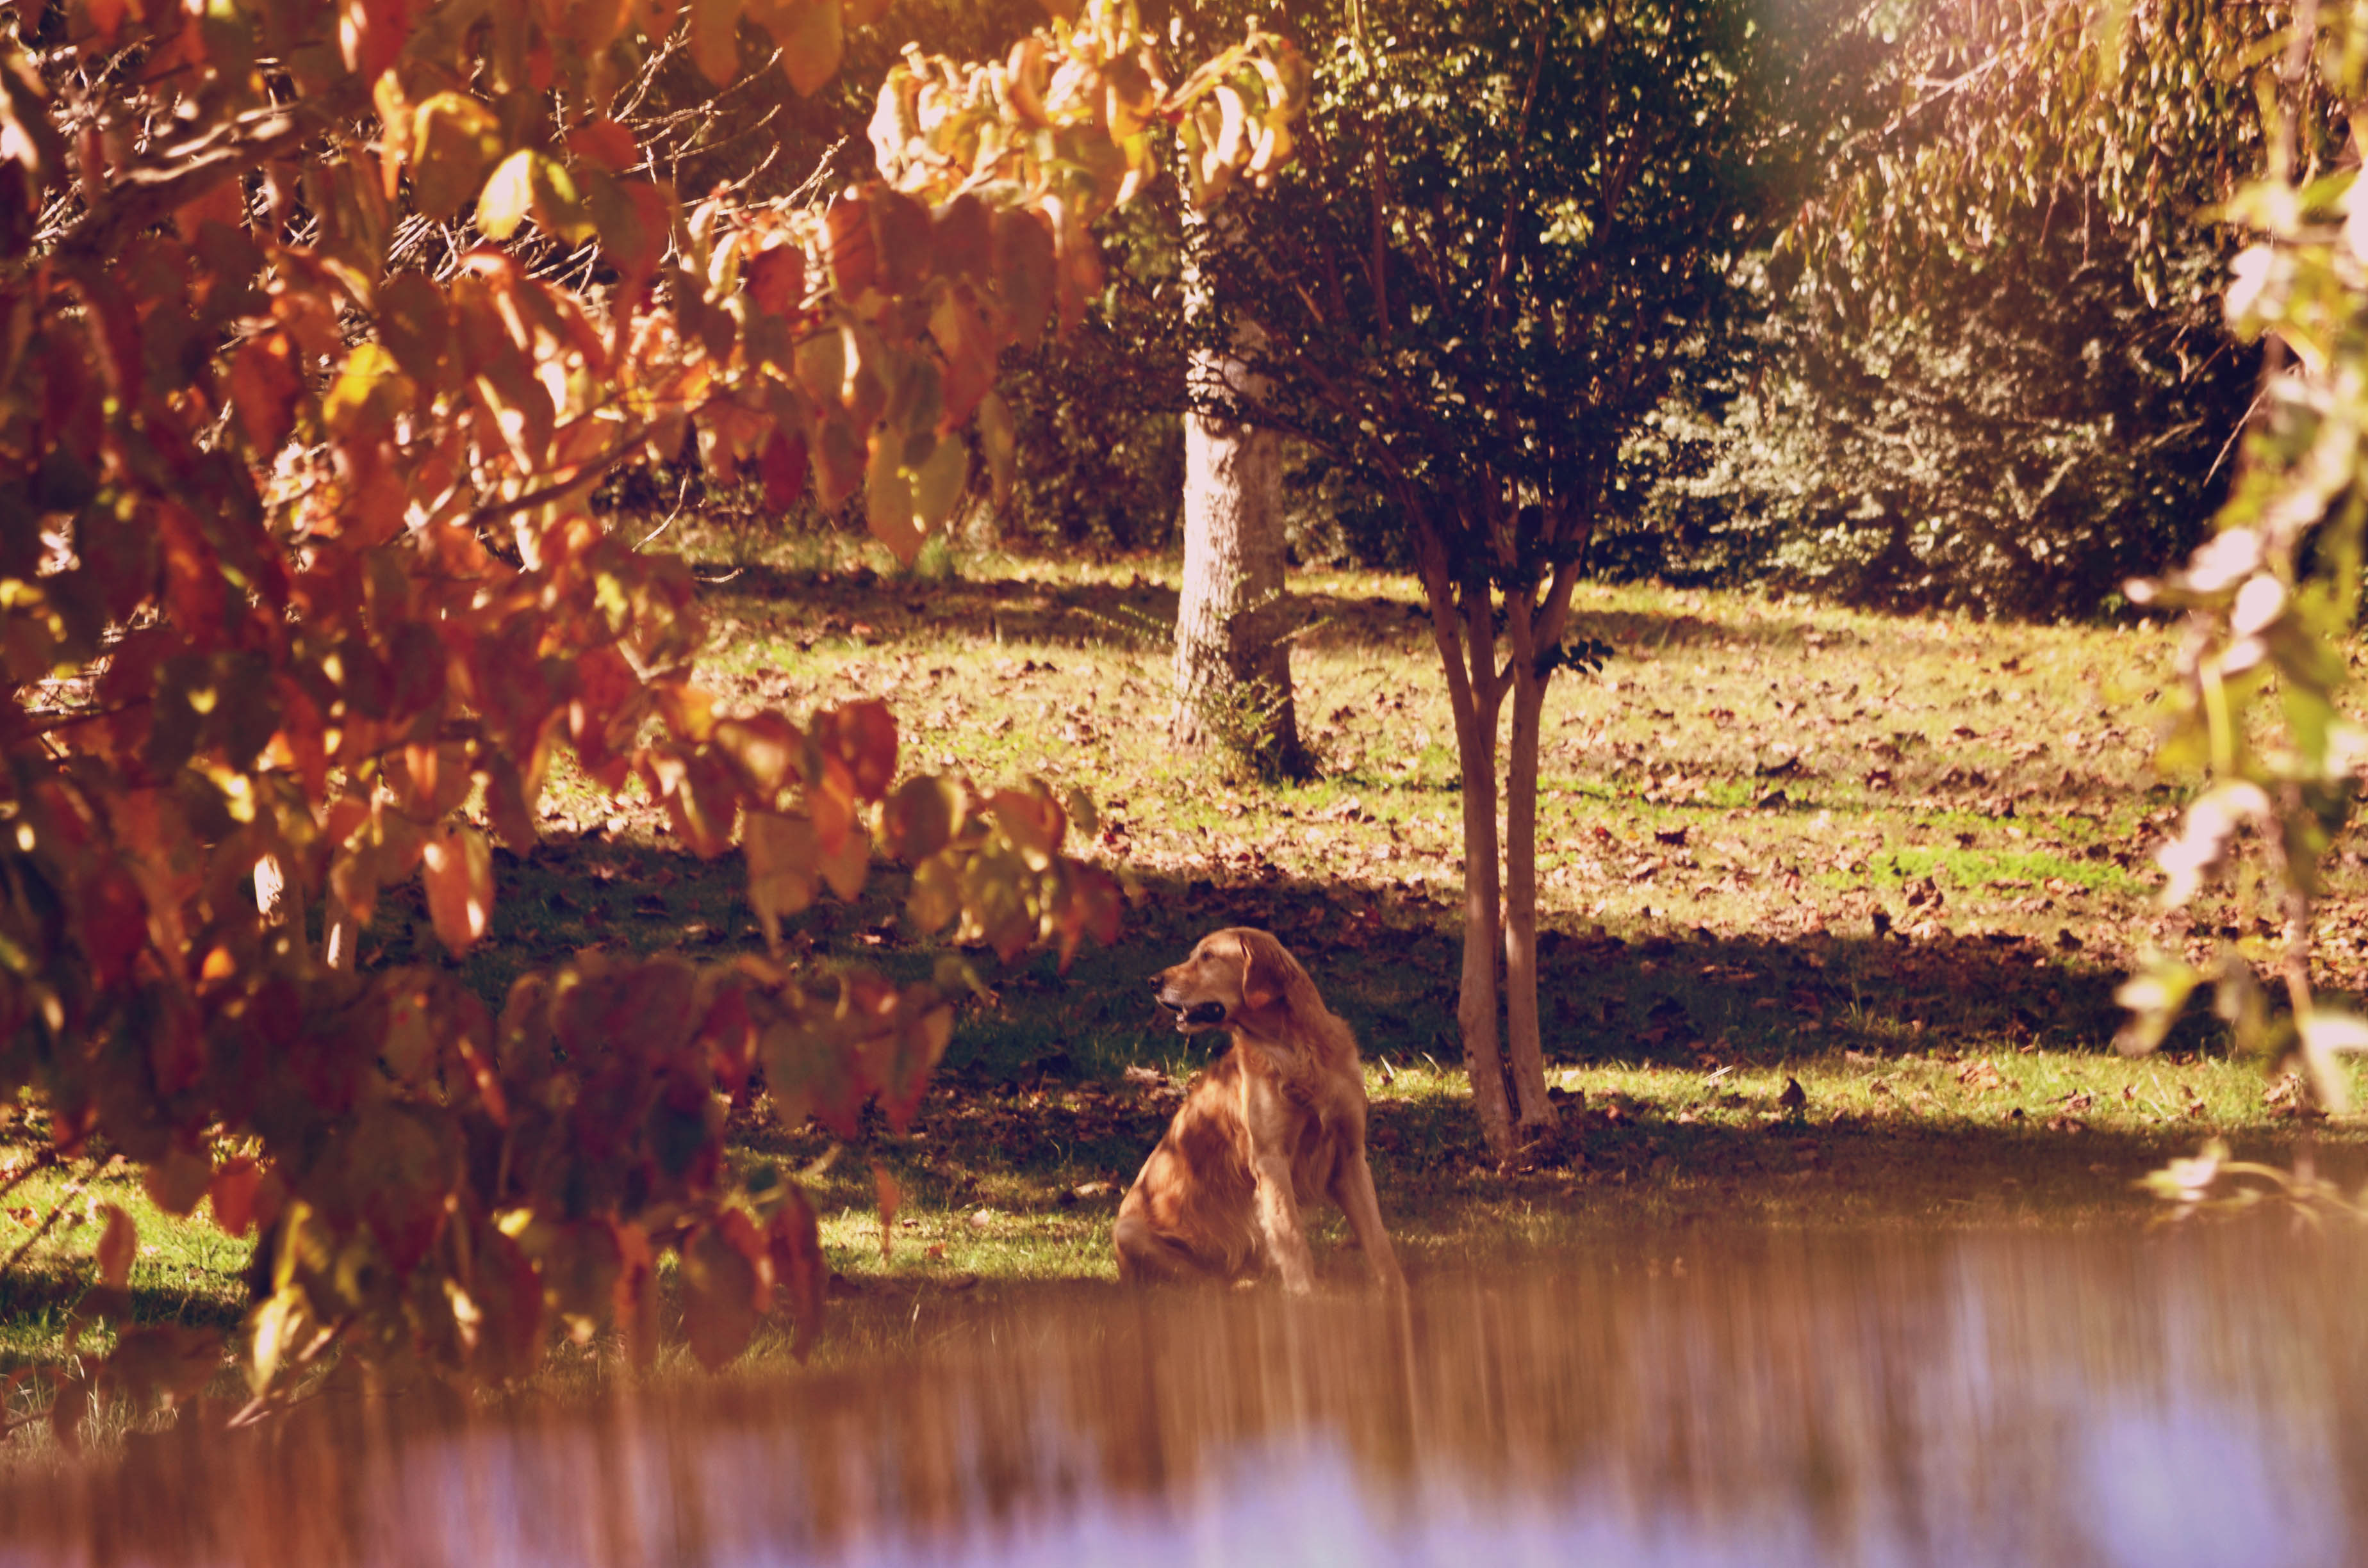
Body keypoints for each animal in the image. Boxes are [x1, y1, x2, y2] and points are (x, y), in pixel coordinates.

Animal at [1117, 928, 1392, 1298]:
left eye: (1207, 957)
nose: (1152, 982)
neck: (1296, 1052)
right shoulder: (1270, 1159)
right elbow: (1293, 1240)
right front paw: (1308, 1298)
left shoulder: (1349, 1155)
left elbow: (1379, 1244)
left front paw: (1396, 1296)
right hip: (1128, 1230)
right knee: (1204, 1283)